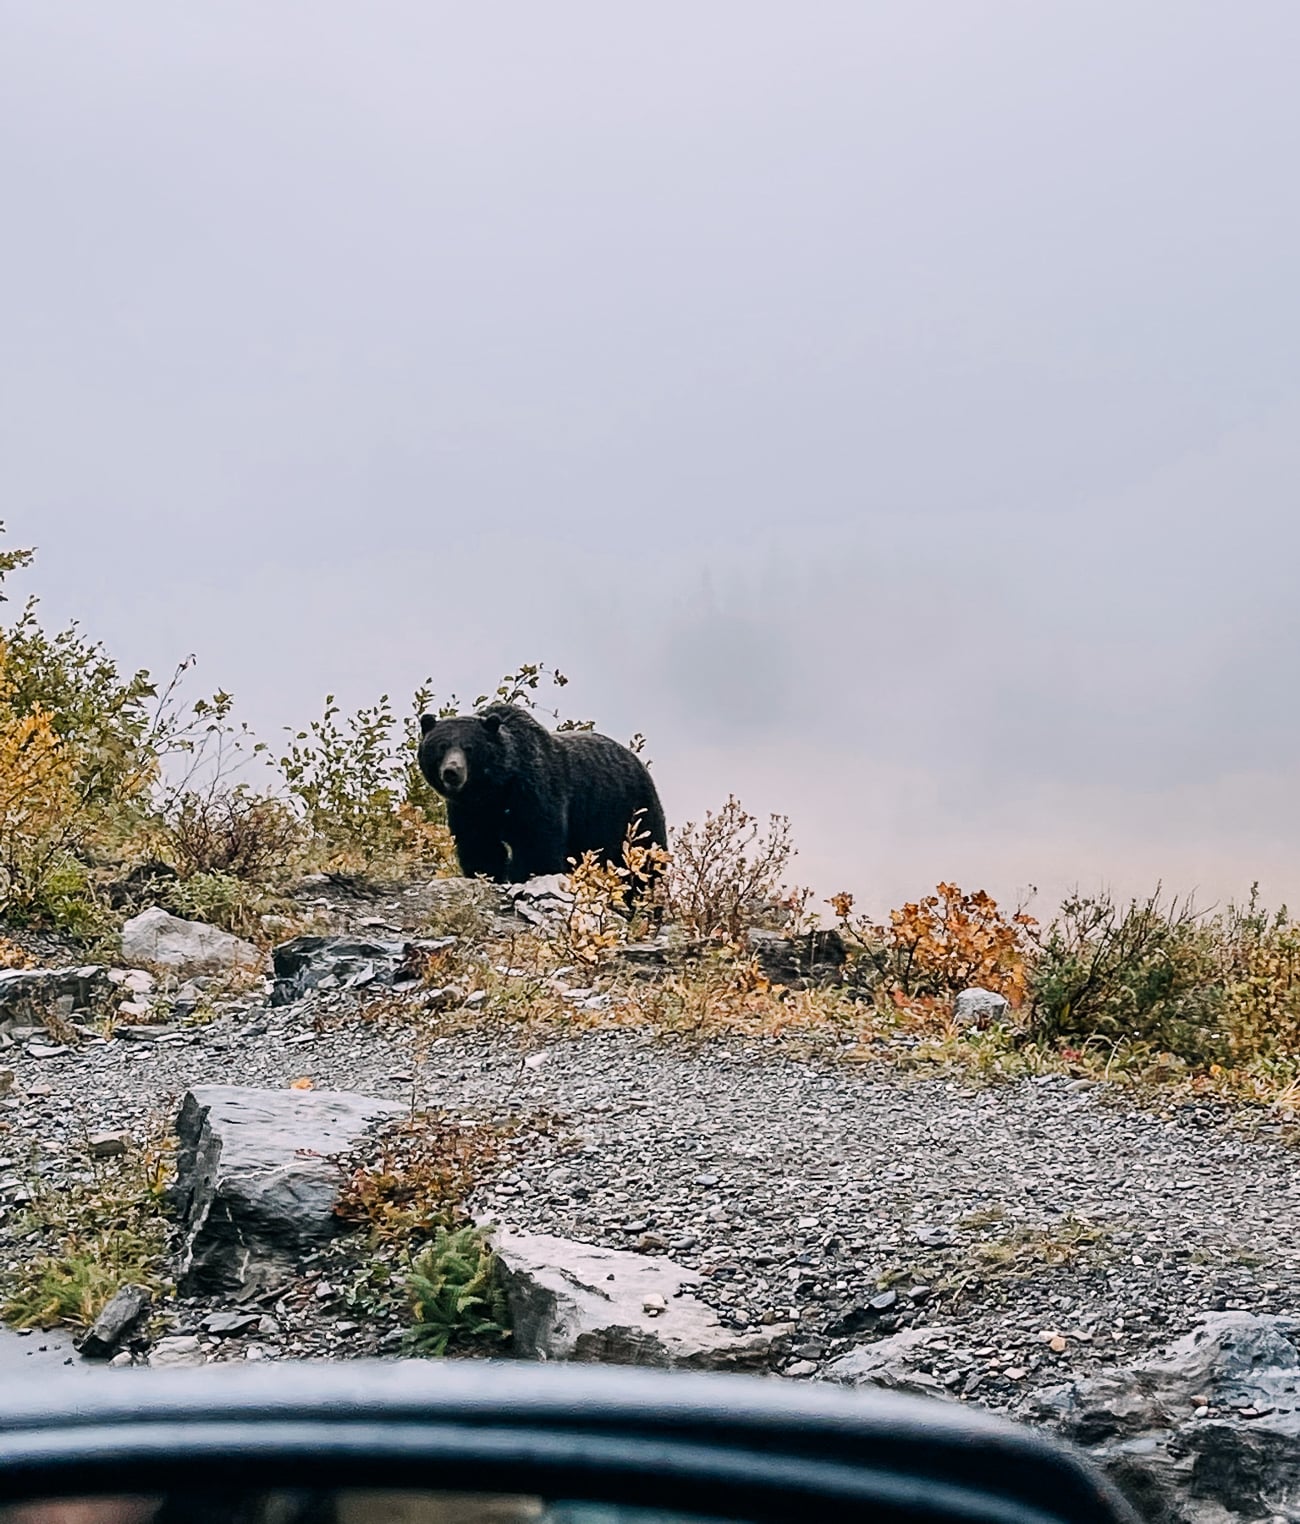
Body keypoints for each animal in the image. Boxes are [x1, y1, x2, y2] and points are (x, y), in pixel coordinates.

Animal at [416, 701, 668, 887]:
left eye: (469, 748)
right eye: (441, 746)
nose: (452, 772)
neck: (496, 788)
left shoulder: (534, 791)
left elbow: (537, 840)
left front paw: (526, 875)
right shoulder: (469, 809)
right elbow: (479, 844)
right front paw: (487, 874)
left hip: (630, 814)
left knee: (645, 858)